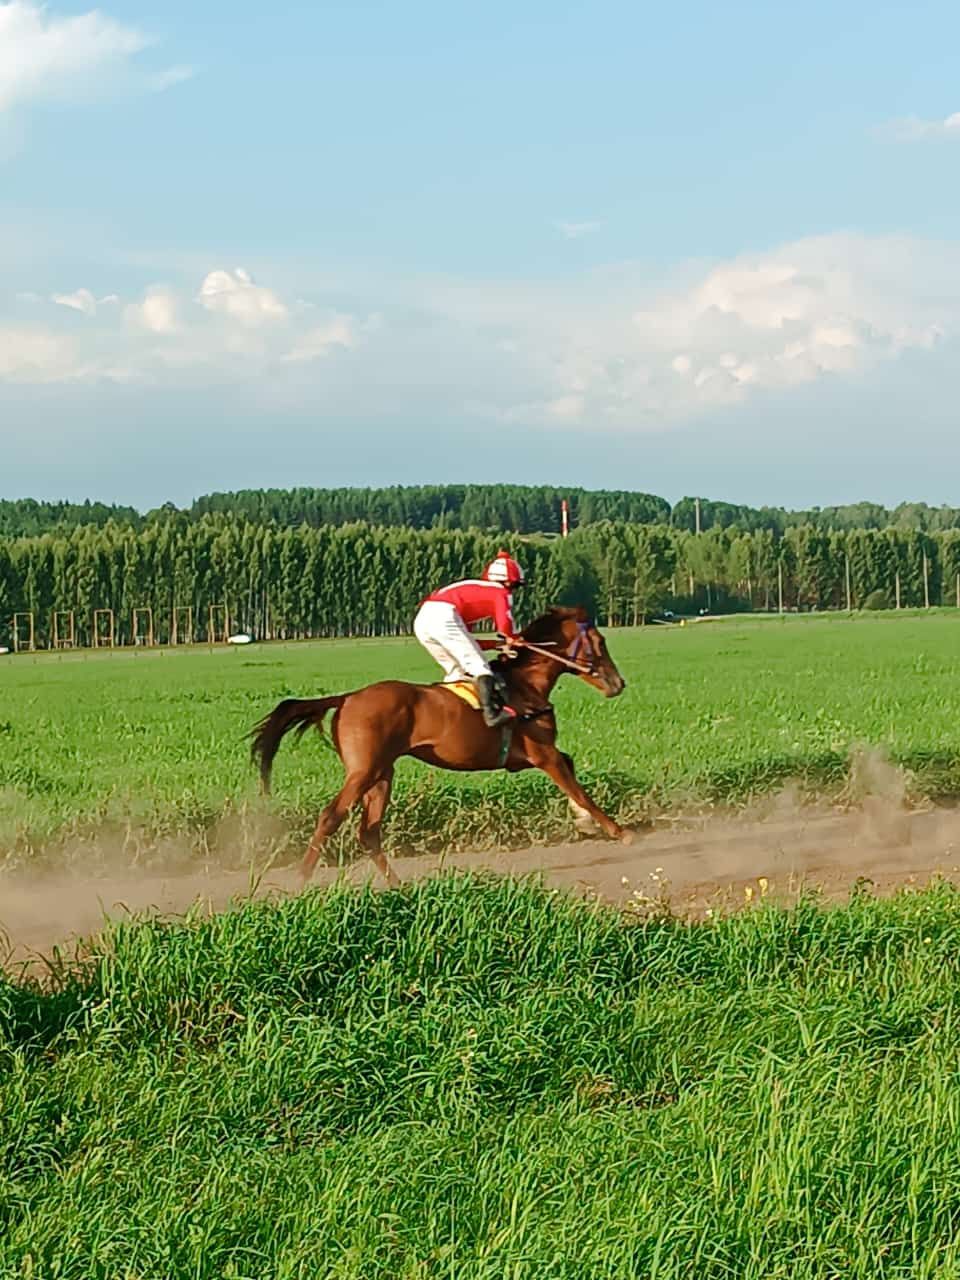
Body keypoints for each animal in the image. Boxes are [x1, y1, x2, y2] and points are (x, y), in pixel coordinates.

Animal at [252, 604, 634, 885]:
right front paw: (618, 830)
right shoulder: (542, 754)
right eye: (600, 643)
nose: (619, 683)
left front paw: (585, 822)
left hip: (382, 774)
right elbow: (578, 787)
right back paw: (302, 878)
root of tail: (346, 698)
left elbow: (571, 769)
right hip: (363, 771)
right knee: (331, 817)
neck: (525, 685)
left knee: (369, 832)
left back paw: (397, 885)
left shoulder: (530, 756)